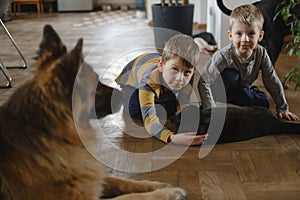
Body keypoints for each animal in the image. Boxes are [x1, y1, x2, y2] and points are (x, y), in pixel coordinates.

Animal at [0, 25, 186, 200]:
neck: (48, 132)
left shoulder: (92, 178)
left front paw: (157, 185)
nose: (121, 94)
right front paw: (168, 193)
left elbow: (123, 181)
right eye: (96, 88)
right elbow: (132, 197)